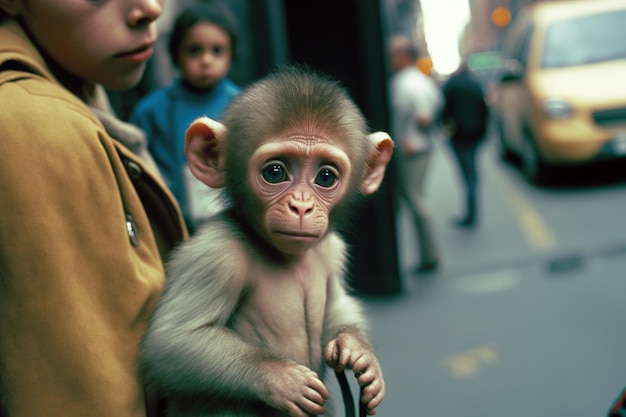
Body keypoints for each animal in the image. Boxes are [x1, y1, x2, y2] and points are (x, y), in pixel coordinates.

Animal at [144, 65, 392, 416]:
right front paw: (282, 378)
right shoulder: (214, 252)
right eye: (275, 172)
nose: (301, 206)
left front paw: (357, 350)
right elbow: (171, 341)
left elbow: (337, 305)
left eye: (325, 176)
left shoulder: (333, 249)